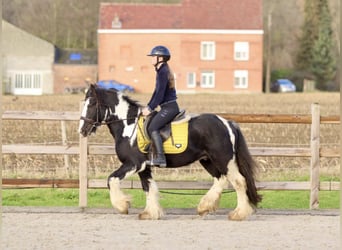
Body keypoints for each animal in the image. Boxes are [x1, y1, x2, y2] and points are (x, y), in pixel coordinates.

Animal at [79, 84, 262, 221]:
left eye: (92, 104)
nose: (82, 130)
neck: (128, 126)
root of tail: (228, 123)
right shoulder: (144, 167)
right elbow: (148, 187)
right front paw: (150, 213)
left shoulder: (134, 163)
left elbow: (112, 179)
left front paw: (123, 206)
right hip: (208, 160)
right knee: (221, 179)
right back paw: (204, 207)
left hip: (224, 159)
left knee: (239, 182)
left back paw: (238, 214)